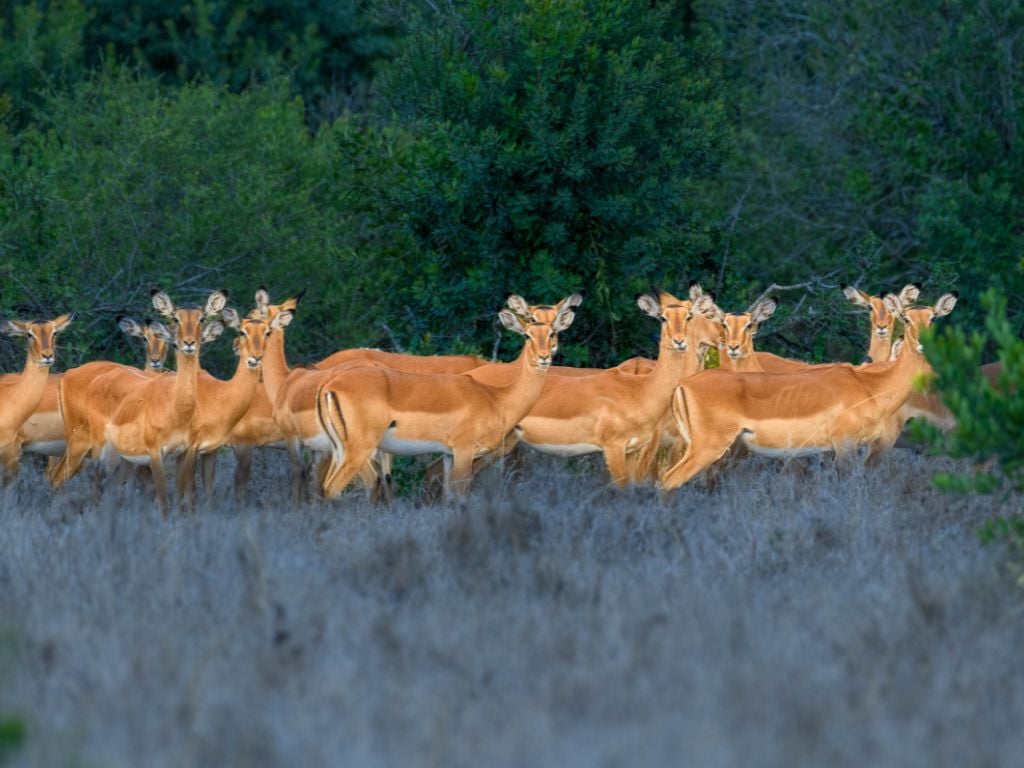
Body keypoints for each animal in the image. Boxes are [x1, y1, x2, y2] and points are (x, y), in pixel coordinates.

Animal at [315, 294, 581, 499]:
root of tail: (328, 383)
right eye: (529, 330)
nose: (545, 356)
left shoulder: (449, 455)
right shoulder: (465, 452)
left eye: (554, 331)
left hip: (339, 449)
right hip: (358, 450)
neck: (497, 395)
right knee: (335, 487)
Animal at [655, 288, 958, 493]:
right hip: (709, 447)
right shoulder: (844, 446)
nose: (922, 342)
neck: (871, 385)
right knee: (668, 482)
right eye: (906, 319)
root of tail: (684, 384)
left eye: (932, 318)